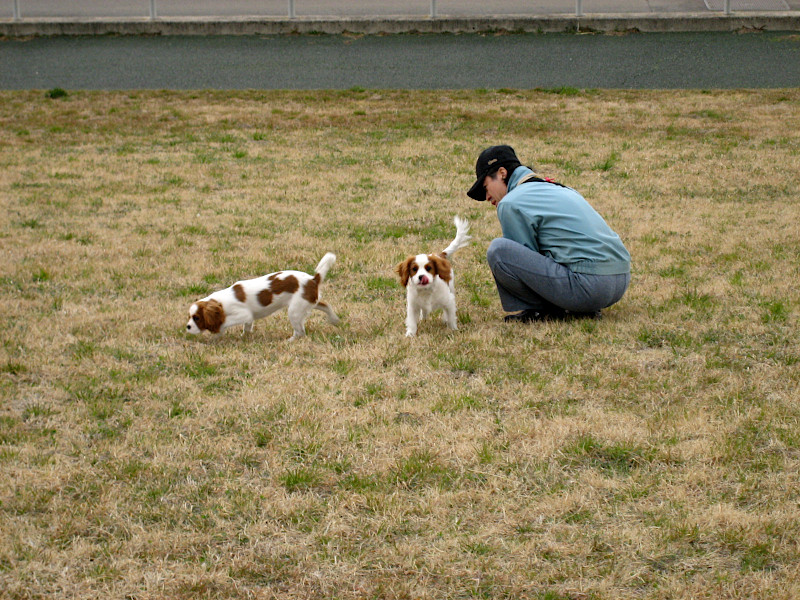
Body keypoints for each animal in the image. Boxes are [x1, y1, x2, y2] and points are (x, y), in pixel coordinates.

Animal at [186, 251, 340, 340]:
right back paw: (334, 320)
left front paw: (218, 333)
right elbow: (247, 327)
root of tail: (313, 279)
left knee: (300, 332)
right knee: (325, 305)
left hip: (295, 310)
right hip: (307, 302)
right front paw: (245, 336)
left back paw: (289, 340)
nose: (187, 327)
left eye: (197, 318)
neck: (221, 302)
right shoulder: (247, 319)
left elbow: (225, 322)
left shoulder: (243, 314)